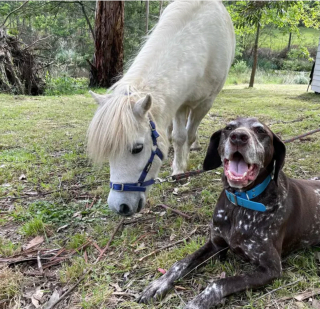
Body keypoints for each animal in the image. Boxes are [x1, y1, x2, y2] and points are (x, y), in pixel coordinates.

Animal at [87, 1, 235, 215]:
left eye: (138, 148)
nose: (120, 207)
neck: (201, 44)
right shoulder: (179, 102)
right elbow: (178, 136)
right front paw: (178, 165)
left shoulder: (206, 102)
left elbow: (186, 135)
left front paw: (181, 166)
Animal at [138, 116, 320, 306]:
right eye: (229, 128)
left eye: (260, 131)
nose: (238, 137)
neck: (239, 204)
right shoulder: (216, 244)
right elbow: (181, 263)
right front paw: (159, 283)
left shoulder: (271, 268)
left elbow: (219, 283)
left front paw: (197, 303)